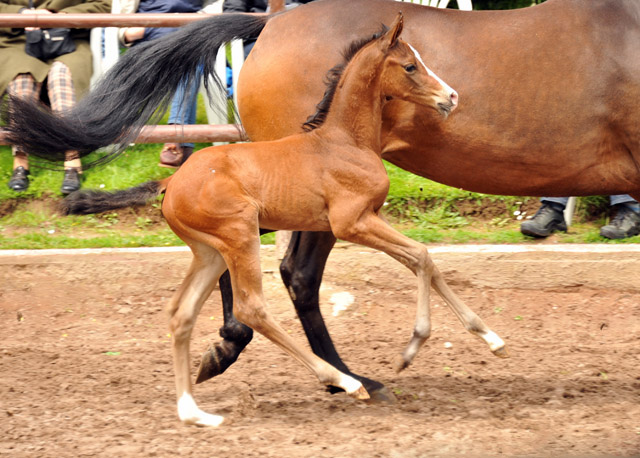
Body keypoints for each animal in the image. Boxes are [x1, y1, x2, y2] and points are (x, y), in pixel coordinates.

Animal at [6, 0, 640, 400]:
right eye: (410, 64)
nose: (453, 97)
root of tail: (271, 19)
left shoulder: (364, 217)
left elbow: (424, 260)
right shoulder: (355, 219)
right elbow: (423, 258)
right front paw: (429, 345)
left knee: (262, 278)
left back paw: (296, 366)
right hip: (271, 216)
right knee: (285, 279)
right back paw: (338, 375)